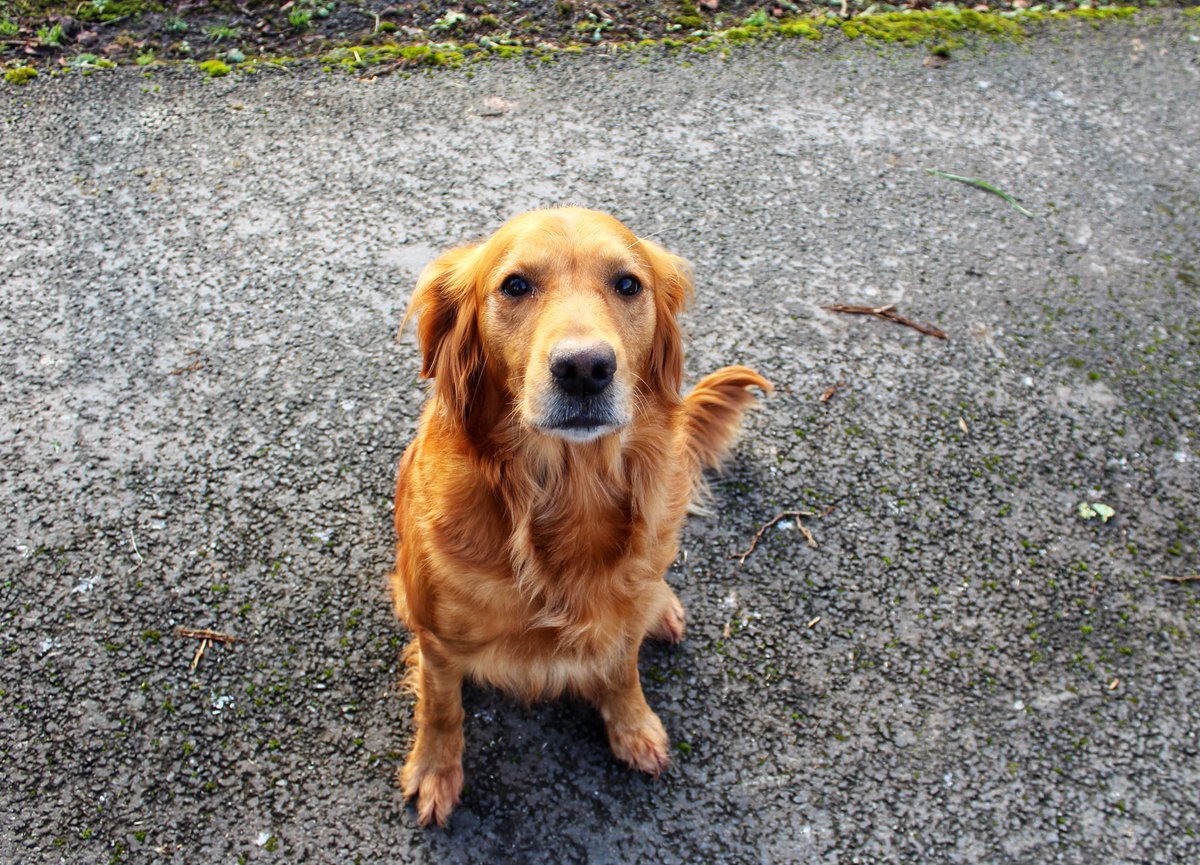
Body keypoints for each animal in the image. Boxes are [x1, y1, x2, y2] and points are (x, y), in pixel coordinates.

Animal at [388, 207, 772, 825]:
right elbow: (442, 708)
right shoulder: (439, 643)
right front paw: (435, 770)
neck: (569, 490)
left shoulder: (619, 620)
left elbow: (622, 672)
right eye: (515, 285)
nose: (585, 368)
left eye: (628, 285)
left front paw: (633, 726)